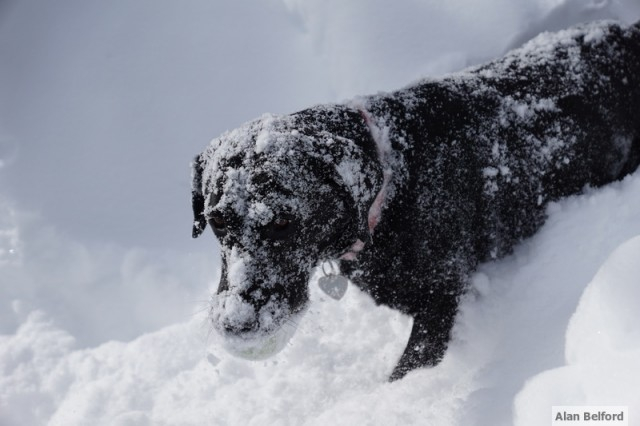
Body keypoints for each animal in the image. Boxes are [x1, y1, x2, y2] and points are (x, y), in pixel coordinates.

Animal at [192, 19, 640, 380]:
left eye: (284, 221)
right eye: (218, 221)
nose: (236, 323)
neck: (393, 182)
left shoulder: (439, 299)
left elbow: (408, 367)